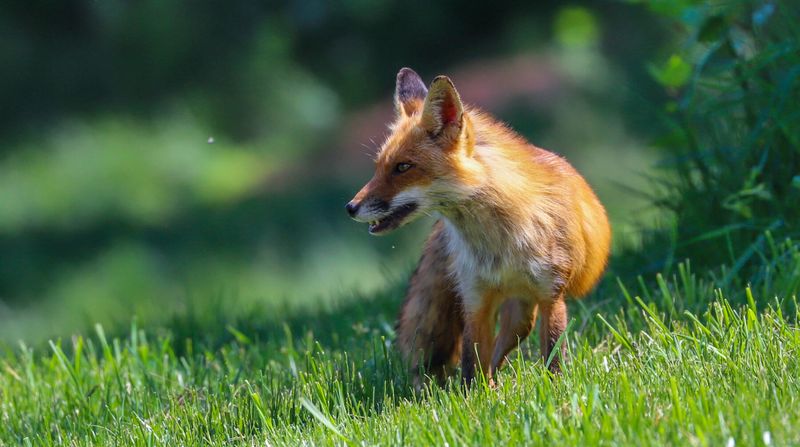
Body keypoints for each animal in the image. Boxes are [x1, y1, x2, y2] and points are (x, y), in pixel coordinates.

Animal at [346, 67, 612, 388]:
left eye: (403, 167)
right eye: (378, 167)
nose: (350, 207)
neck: (499, 243)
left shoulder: (552, 294)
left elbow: (553, 357)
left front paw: (556, 388)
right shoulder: (475, 299)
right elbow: (472, 366)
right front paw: (477, 396)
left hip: (522, 313)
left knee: (506, 344)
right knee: (493, 356)